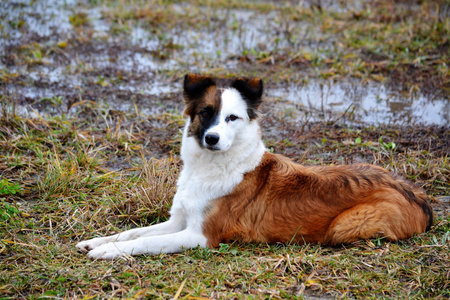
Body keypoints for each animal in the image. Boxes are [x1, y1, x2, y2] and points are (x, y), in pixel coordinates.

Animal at [76, 74, 432, 258]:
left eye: (233, 117)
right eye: (205, 112)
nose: (212, 138)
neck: (213, 166)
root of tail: (417, 194)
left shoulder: (200, 236)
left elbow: (145, 242)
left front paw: (108, 252)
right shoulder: (179, 221)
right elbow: (134, 231)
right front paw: (98, 241)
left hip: (343, 226)